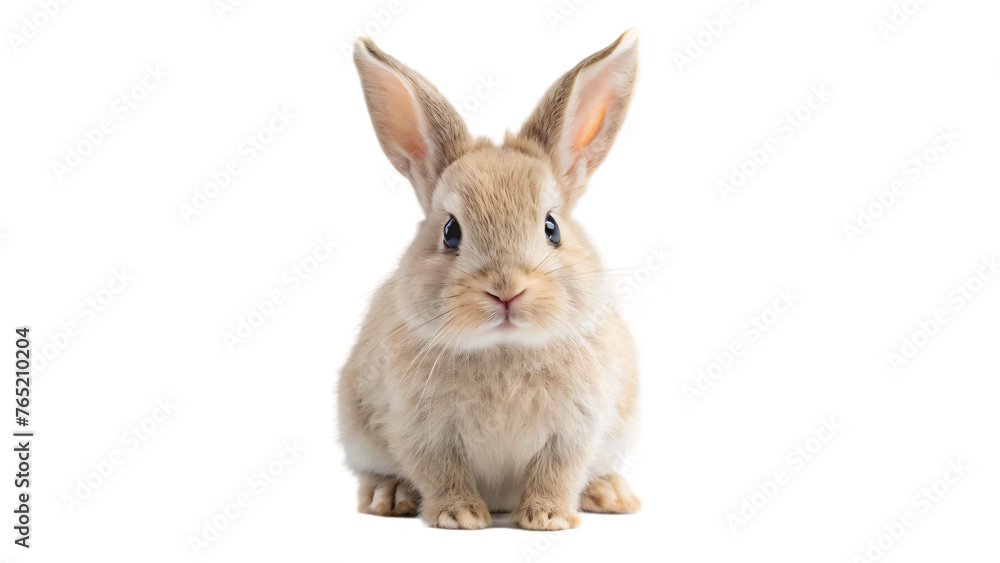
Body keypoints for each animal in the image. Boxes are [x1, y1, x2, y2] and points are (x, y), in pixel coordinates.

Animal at [338, 29, 642, 530]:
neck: (503, 347)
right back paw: (390, 496)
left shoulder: (575, 429)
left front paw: (547, 518)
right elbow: (441, 471)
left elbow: (558, 471)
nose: (506, 290)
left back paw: (612, 495)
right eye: (450, 231)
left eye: (552, 228)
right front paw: (460, 517)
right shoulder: (422, 429)